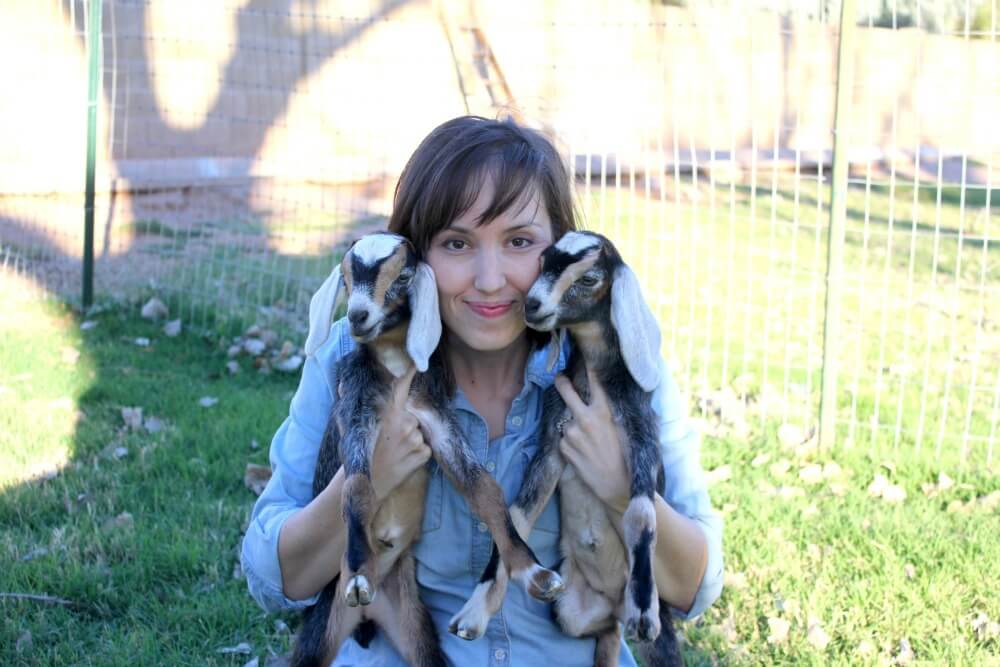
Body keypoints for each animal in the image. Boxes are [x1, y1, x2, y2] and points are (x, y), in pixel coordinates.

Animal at [292, 234, 568, 667]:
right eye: (346, 278)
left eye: (403, 275)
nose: (358, 316)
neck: (394, 376)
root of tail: (368, 617)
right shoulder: (357, 415)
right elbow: (357, 488)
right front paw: (358, 573)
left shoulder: (436, 422)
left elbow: (485, 489)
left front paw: (534, 573)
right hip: (320, 629)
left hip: (416, 629)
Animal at [452, 232, 680, 664]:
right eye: (543, 262)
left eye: (589, 278)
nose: (533, 305)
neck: (596, 379)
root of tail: (612, 609)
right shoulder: (551, 447)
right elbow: (515, 516)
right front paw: (474, 611)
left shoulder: (642, 435)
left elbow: (642, 513)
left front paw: (644, 606)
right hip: (571, 613)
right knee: (603, 636)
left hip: (663, 639)